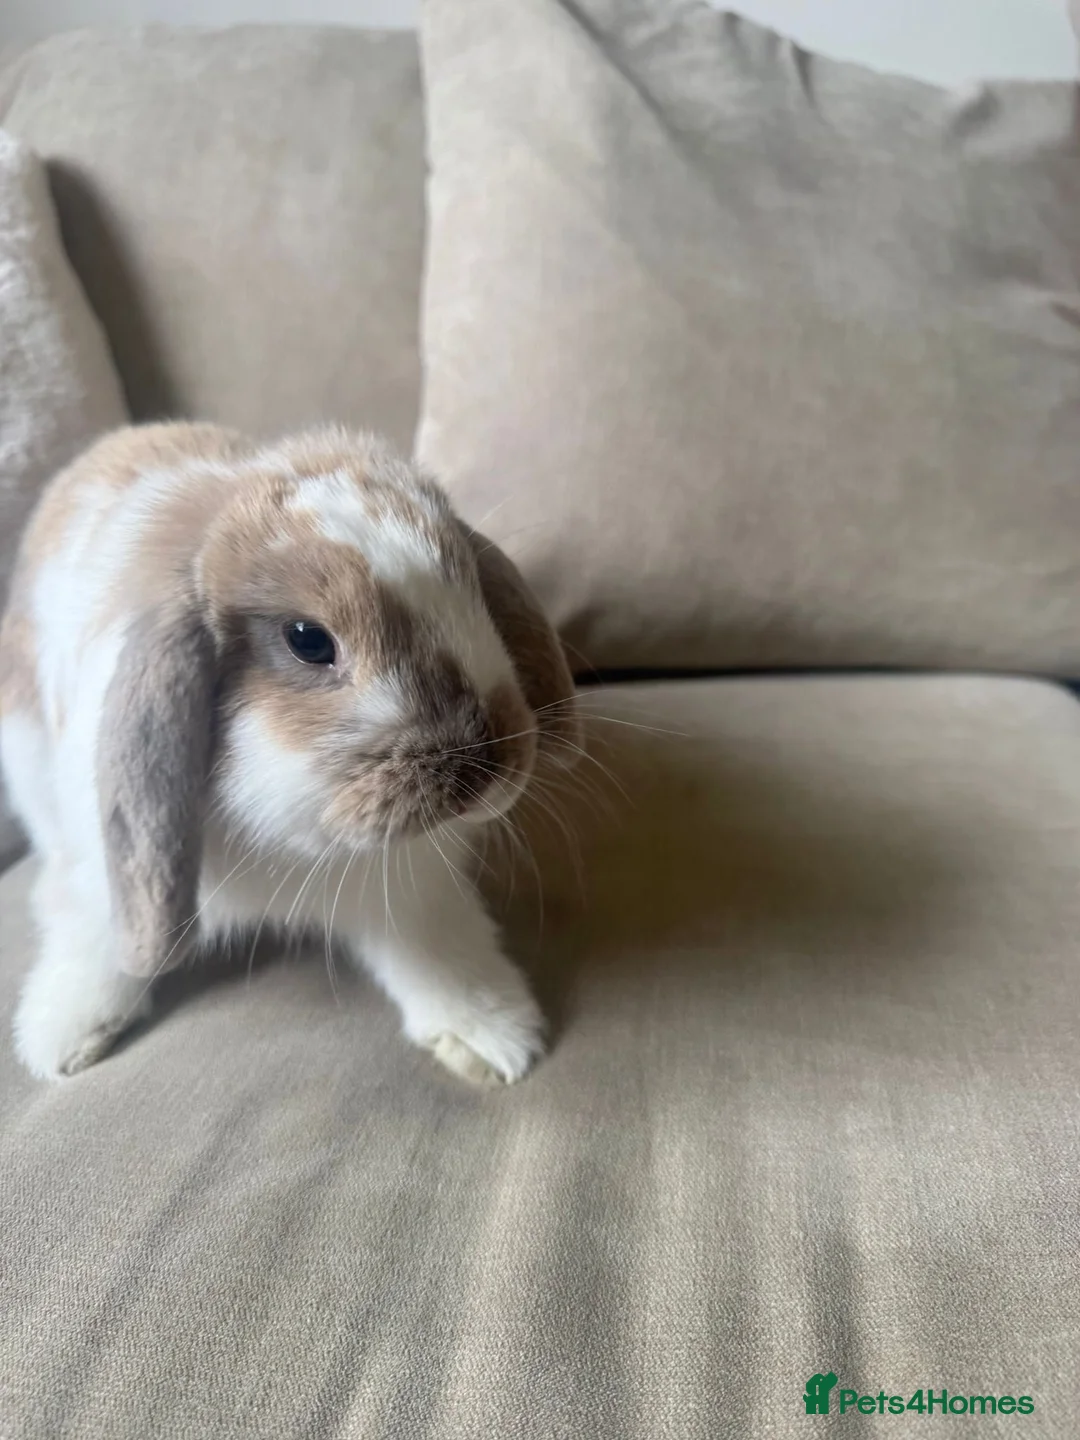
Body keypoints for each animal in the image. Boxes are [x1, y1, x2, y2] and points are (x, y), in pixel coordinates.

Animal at [0, 421, 581, 1086]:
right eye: (307, 641)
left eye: (473, 591)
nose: (488, 763)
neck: (299, 842)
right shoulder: (105, 869)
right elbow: (96, 943)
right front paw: (60, 1040)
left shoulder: (414, 892)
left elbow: (439, 948)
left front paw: (494, 1039)